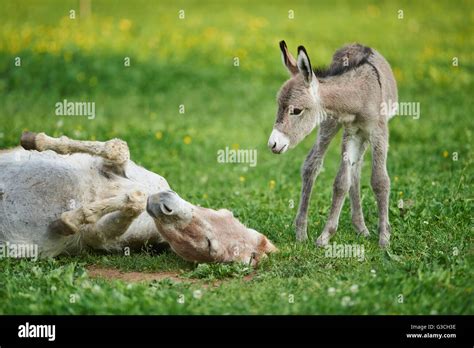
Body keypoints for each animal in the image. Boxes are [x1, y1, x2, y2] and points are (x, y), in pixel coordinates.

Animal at [268, 40, 398, 247]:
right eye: (278, 106)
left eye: (296, 110)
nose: (273, 143)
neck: (360, 95)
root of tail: (356, 43)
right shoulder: (351, 132)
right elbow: (341, 182)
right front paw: (325, 236)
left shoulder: (378, 132)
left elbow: (380, 181)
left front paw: (384, 239)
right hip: (331, 124)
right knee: (314, 165)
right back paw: (304, 232)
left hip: (360, 134)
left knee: (356, 169)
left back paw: (361, 228)